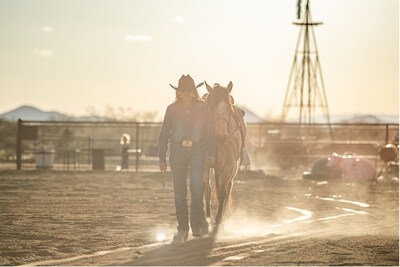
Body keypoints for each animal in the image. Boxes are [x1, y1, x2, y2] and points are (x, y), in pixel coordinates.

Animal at [205, 81, 245, 232]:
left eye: (228, 108)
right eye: (212, 108)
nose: (222, 136)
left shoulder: (228, 167)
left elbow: (223, 192)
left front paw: (219, 221)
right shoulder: (205, 166)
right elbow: (207, 190)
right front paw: (207, 219)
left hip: (232, 170)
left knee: (228, 188)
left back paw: (225, 215)